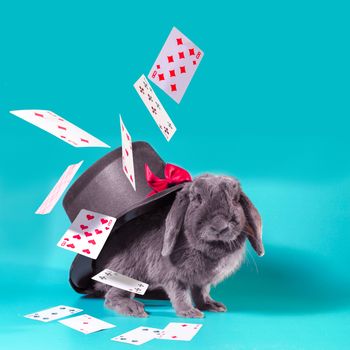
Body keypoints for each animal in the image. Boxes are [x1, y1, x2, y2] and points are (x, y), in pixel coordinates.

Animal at [93, 174, 262, 318]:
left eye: (235, 200)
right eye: (197, 199)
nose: (220, 226)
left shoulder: (202, 281)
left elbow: (201, 293)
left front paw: (212, 306)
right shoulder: (173, 276)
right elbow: (180, 294)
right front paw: (190, 313)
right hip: (128, 271)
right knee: (112, 295)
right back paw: (134, 309)